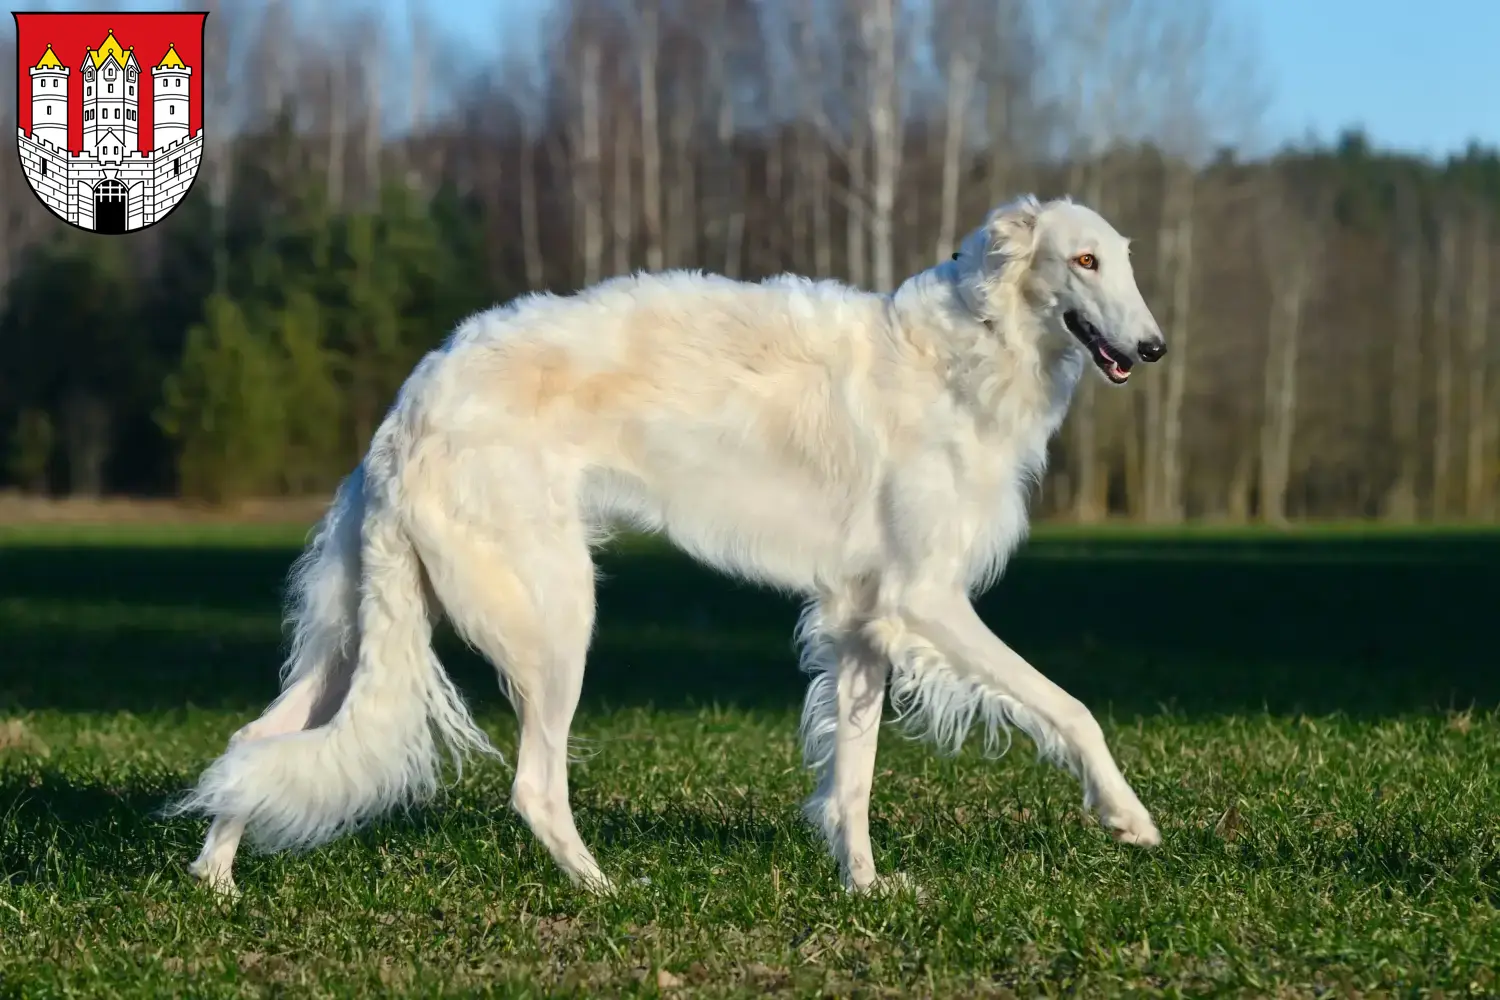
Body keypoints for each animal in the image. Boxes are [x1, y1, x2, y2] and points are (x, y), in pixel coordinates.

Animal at [178, 191, 1170, 893]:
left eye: (1125, 260)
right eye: (1082, 260)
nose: (1155, 347)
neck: (966, 354)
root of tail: (405, 416)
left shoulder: (864, 616)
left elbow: (853, 780)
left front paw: (865, 887)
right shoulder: (925, 598)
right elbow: (1071, 706)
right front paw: (1128, 817)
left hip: (354, 635)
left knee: (252, 746)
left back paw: (216, 877)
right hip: (554, 618)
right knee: (534, 784)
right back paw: (606, 889)